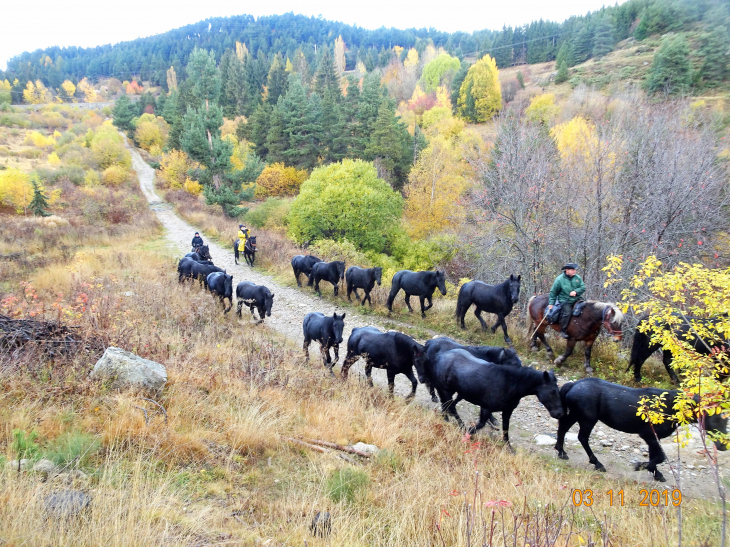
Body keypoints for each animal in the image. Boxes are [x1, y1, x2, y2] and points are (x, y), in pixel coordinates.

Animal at [412, 348, 560, 448]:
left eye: (558, 390)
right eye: (552, 391)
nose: (559, 413)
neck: (509, 383)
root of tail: (439, 356)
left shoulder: (507, 411)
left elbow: (505, 429)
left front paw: (509, 448)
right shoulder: (486, 408)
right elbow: (481, 424)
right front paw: (468, 433)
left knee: (448, 405)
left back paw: (447, 418)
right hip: (446, 390)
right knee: (451, 407)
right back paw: (459, 425)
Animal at [556, 378, 724, 482]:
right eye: (715, 417)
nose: (722, 445)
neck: (671, 407)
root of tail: (572, 385)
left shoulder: (653, 438)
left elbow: (655, 457)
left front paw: (656, 474)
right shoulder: (649, 435)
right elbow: (659, 457)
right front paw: (641, 467)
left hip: (577, 414)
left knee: (563, 427)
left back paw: (561, 452)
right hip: (587, 419)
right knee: (582, 437)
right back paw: (597, 464)